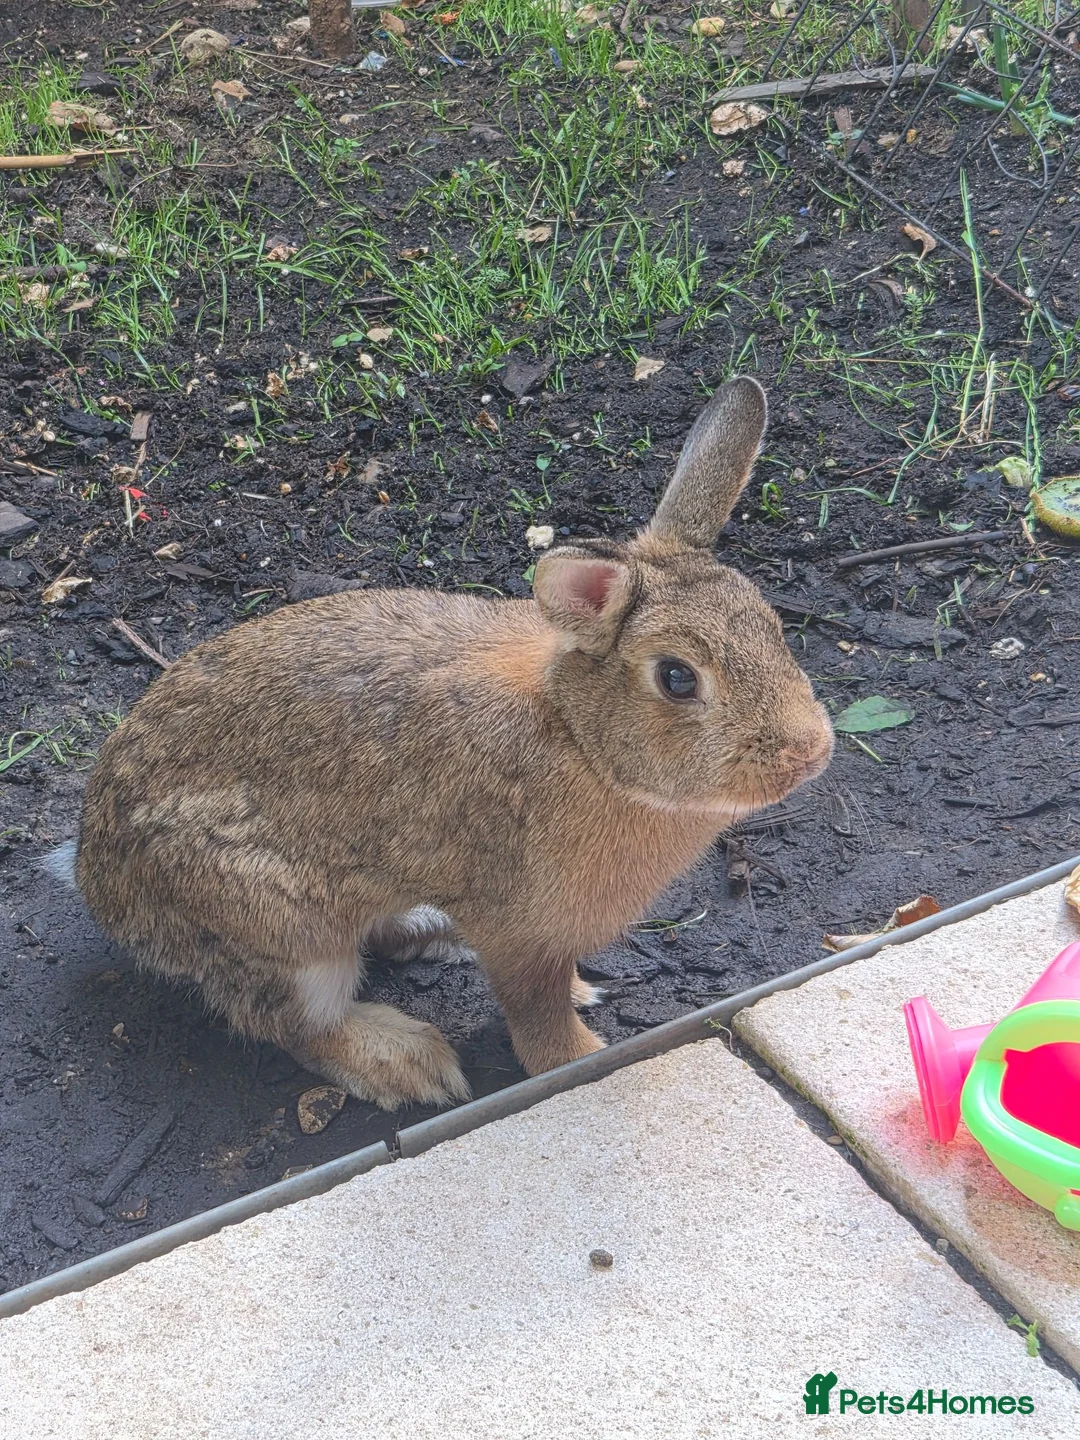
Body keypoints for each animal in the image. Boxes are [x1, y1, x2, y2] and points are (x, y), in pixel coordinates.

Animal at [55, 376, 832, 1110]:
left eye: (772, 627)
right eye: (676, 677)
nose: (810, 753)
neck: (580, 739)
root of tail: (98, 882)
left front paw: (583, 998)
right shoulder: (523, 931)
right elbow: (535, 1011)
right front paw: (582, 1060)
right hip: (281, 932)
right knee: (294, 1023)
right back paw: (410, 1062)